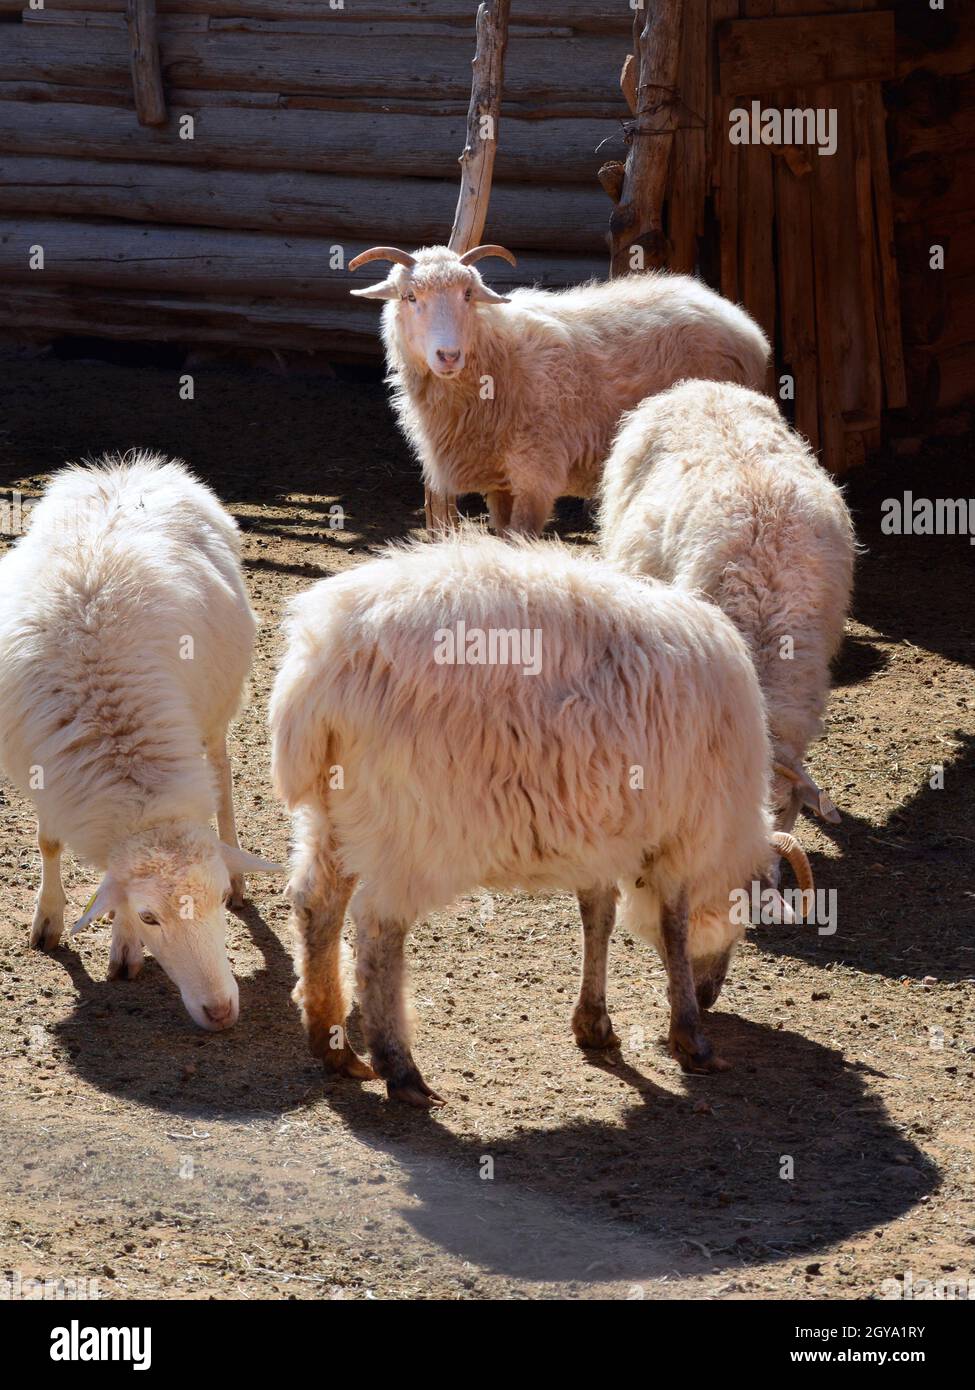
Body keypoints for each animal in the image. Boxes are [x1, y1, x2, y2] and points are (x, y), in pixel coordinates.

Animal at [0, 453, 284, 1030]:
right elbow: (50, 843)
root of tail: (129, 467)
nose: (221, 1012)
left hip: (218, 703)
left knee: (221, 773)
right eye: (152, 916)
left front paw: (123, 948)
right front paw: (51, 918)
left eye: (216, 898)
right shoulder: (43, 769)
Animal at [269, 531, 809, 1107]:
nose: (710, 996)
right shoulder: (682, 834)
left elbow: (598, 916)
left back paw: (333, 1045)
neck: (729, 835)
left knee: (316, 902)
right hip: (408, 827)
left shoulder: (604, 837)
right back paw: (400, 1068)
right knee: (378, 932)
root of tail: (318, 668)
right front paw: (691, 1037)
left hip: (336, 810)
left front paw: (594, 1023)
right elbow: (674, 927)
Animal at [348, 244, 770, 536]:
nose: (448, 355)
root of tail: (738, 319)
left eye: (468, 295)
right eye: (410, 297)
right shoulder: (499, 482)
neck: (496, 356)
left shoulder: (536, 472)